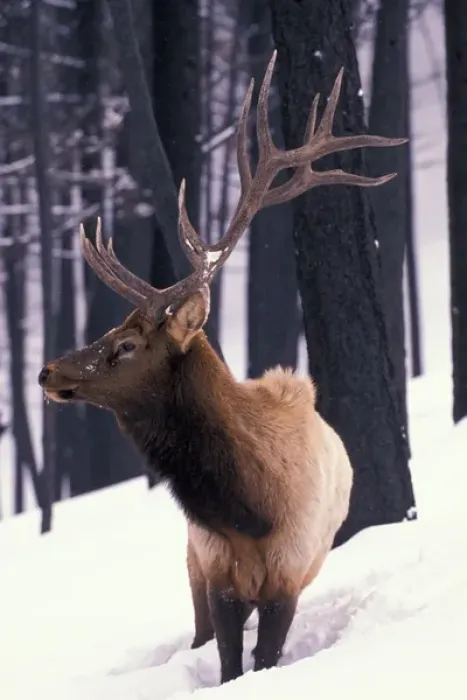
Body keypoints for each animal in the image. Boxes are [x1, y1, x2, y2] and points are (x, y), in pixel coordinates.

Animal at [38, 52, 406, 684]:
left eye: (126, 344)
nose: (47, 372)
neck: (249, 511)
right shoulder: (215, 572)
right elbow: (228, 659)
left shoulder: (287, 578)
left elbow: (262, 660)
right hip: (189, 562)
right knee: (197, 633)